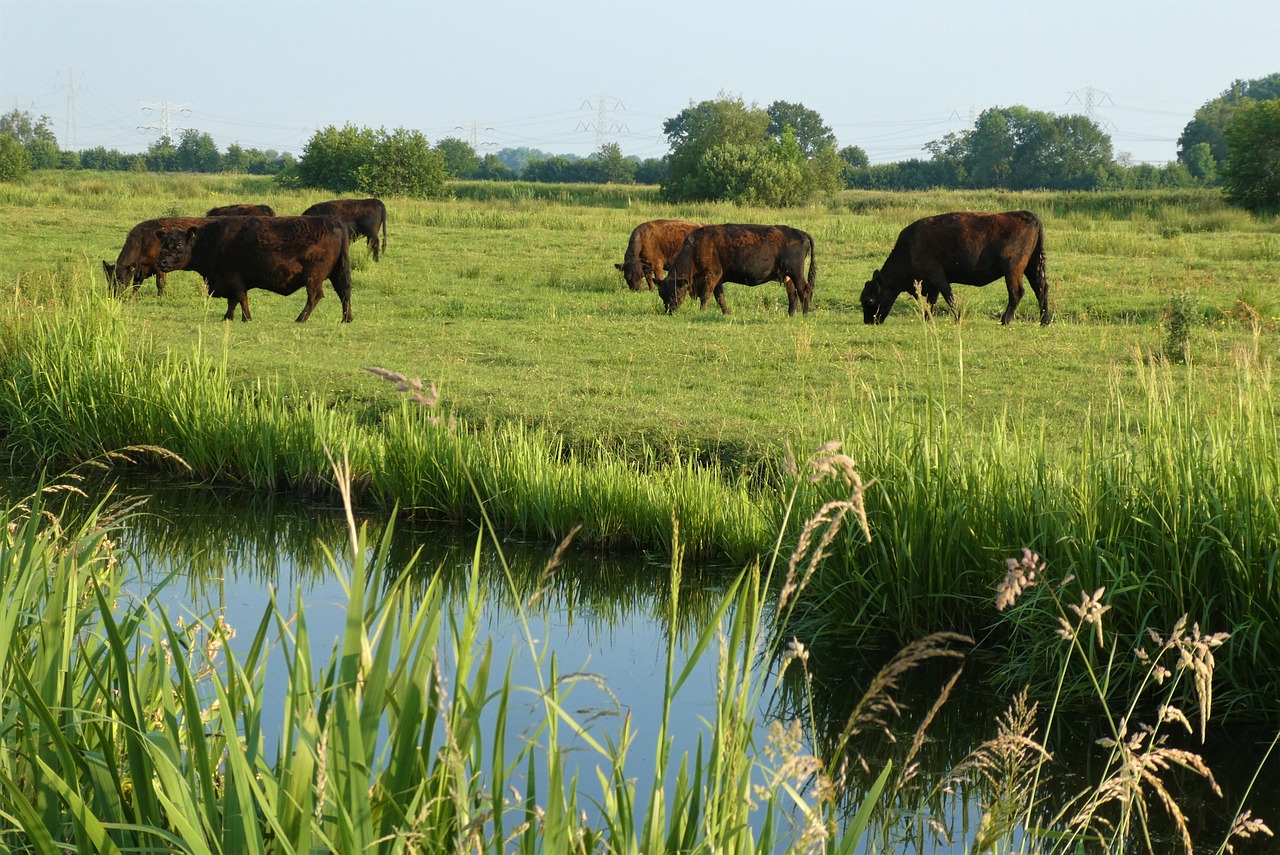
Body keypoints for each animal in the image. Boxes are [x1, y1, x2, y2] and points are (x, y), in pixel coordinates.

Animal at [156, 215, 355, 322]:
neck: (213, 240)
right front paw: (227, 317)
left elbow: (240, 297)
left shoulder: (234, 278)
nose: (161, 262)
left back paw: (300, 318)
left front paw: (246, 317)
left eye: (178, 245)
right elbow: (232, 301)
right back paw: (347, 318)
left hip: (313, 276)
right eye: (164, 243)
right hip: (337, 273)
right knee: (344, 293)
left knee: (315, 295)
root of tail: (333, 221)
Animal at [655, 223, 814, 317]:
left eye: (674, 292)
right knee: (793, 294)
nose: (669, 311)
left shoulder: (711, 277)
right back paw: (791, 314)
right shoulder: (717, 281)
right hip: (788, 276)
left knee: (804, 290)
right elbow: (720, 298)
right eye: (661, 294)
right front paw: (726, 313)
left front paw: (701, 312)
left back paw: (805, 313)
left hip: (796, 273)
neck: (695, 248)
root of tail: (802, 233)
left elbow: (706, 295)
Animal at [860, 209, 1049, 323]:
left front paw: (958, 318)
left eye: (870, 299)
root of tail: (1028, 215)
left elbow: (948, 297)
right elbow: (932, 301)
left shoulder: (936, 275)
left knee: (1017, 292)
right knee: (1041, 288)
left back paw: (1005, 320)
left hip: (1012, 269)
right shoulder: (932, 282)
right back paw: (1044, 321)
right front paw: (928, 319)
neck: (910, 246)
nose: (869, 321)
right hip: (1031, 267)